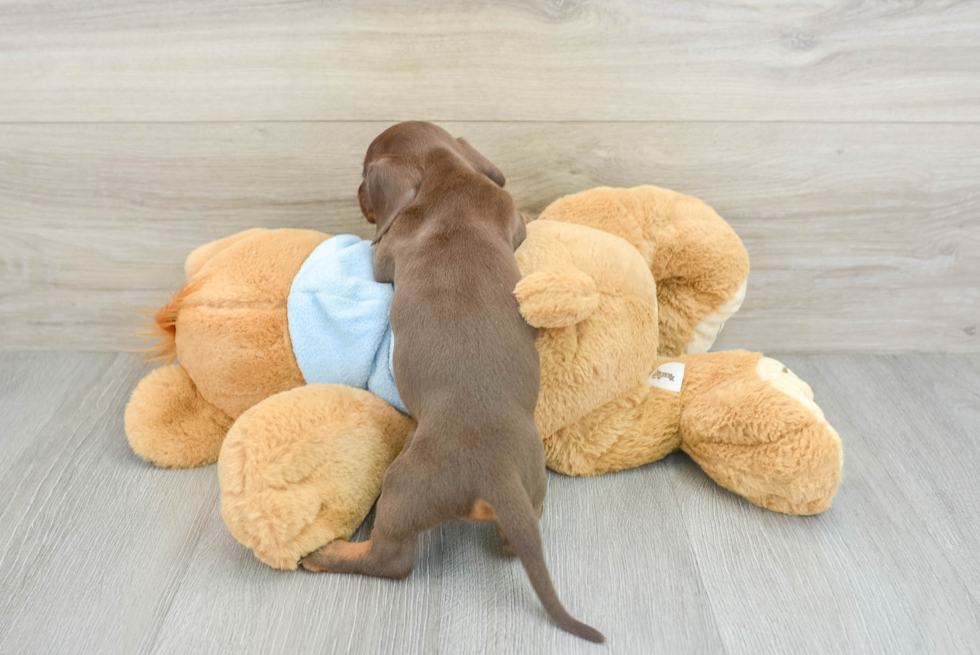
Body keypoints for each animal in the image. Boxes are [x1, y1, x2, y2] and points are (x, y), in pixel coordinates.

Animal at [298, 120, 604, 644]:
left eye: (364, 176)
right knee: (513, 541)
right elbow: (519, 221)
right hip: (531, 485)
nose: (355, 195)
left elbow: (377, 257)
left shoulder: (388, 251)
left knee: (392, 561)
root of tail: (494, 472)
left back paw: (326, 554)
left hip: (403, 486)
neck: (446, 178)